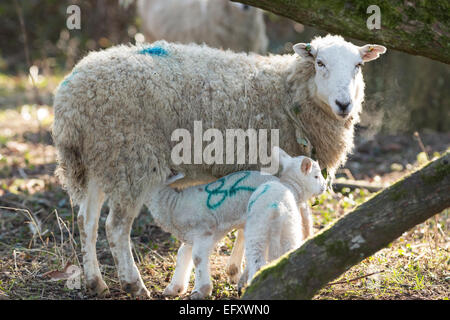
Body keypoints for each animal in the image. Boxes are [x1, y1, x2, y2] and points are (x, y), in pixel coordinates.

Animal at [146, 146, 326, 298]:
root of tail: (277, 207)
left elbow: (195, 257)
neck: (172, 204)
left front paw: (200, 290)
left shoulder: (204, 232)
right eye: (316, 176)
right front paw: (176, 288)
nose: (324, 186)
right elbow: (184, 253)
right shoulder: (197, 234)